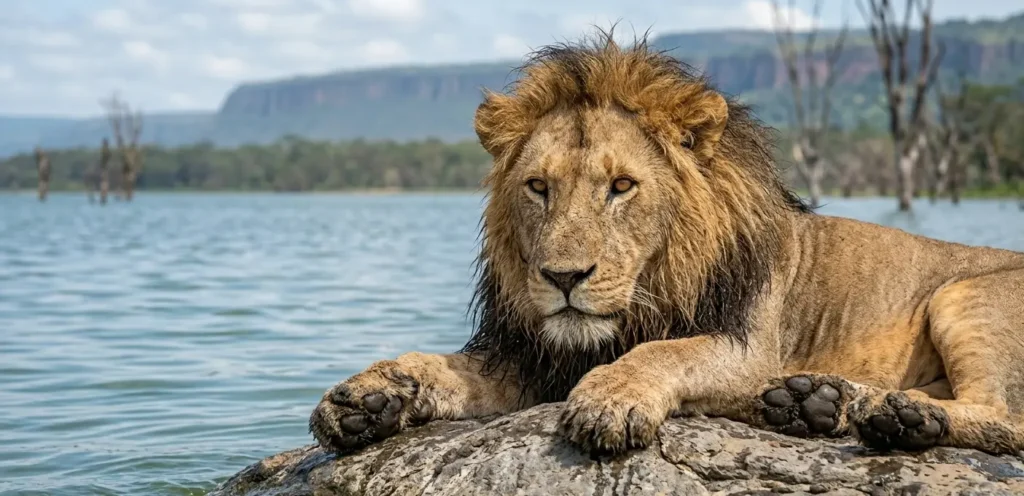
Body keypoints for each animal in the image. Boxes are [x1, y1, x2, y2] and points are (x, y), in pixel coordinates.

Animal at [309, 32, 1024, 457]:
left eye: (621, 186)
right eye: (538, 186)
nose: (562, 277)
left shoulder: (749, 343)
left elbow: (666, 350)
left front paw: (610, 400)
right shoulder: (532, 361)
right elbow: (439, 364)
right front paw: (368, 395)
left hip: (964, 296)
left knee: (1006, 418)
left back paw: (892, 415)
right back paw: (821, 404)